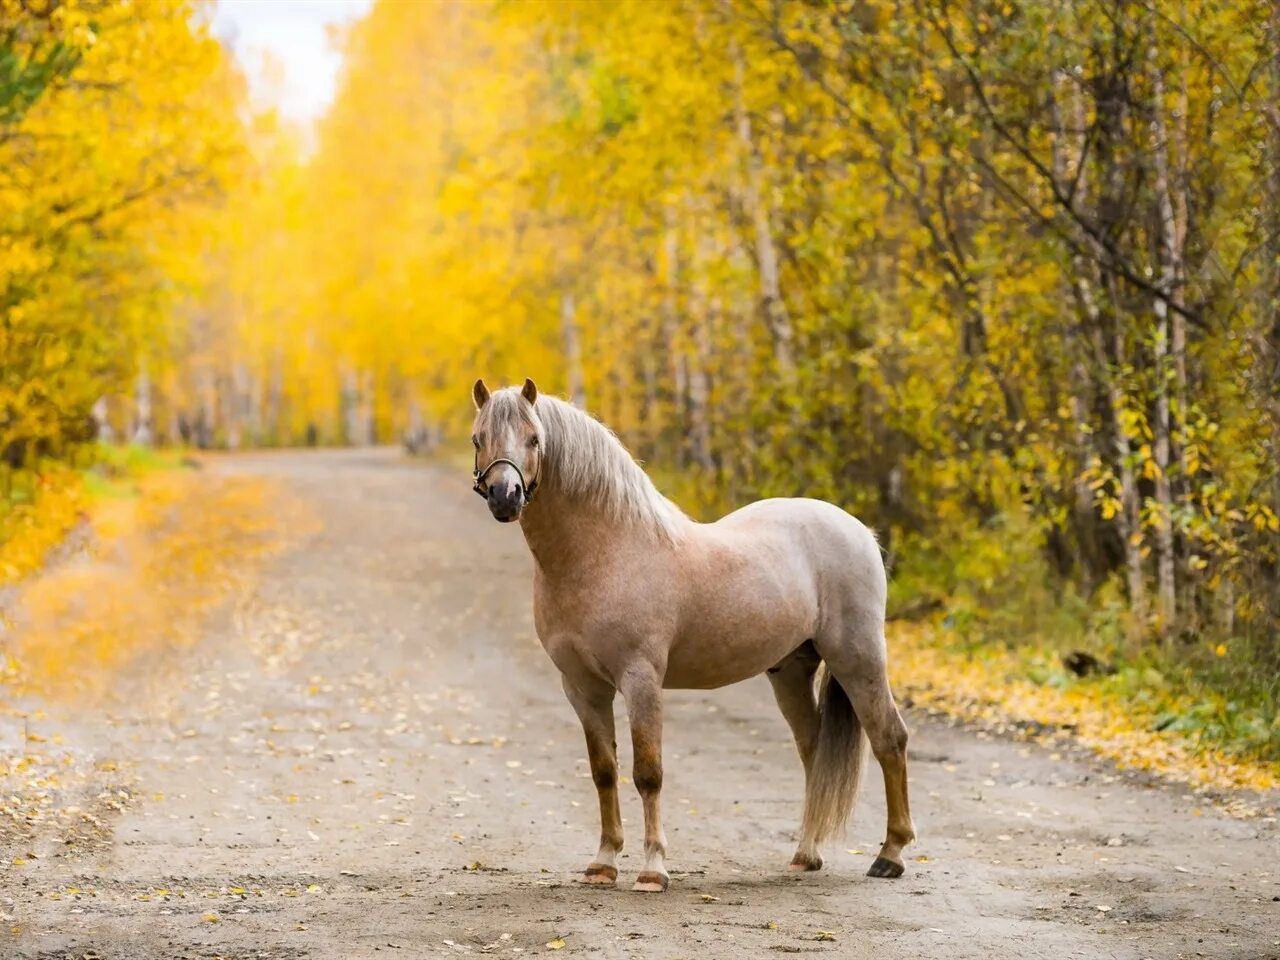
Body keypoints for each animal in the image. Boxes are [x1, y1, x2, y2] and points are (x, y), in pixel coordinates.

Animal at [468, 378, 911, 896]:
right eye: (479, 438)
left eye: (535, 439)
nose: (505, 497)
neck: (606, 551)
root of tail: (859, 530)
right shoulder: (582, 687)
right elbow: (603, 772)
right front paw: (603, 864)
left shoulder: (641, 679)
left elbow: (648, 773)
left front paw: (652, 870)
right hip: (791, 671)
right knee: (814, 752)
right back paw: (806, 855)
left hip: (858, 658)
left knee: (889, 738)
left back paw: (890, 855)